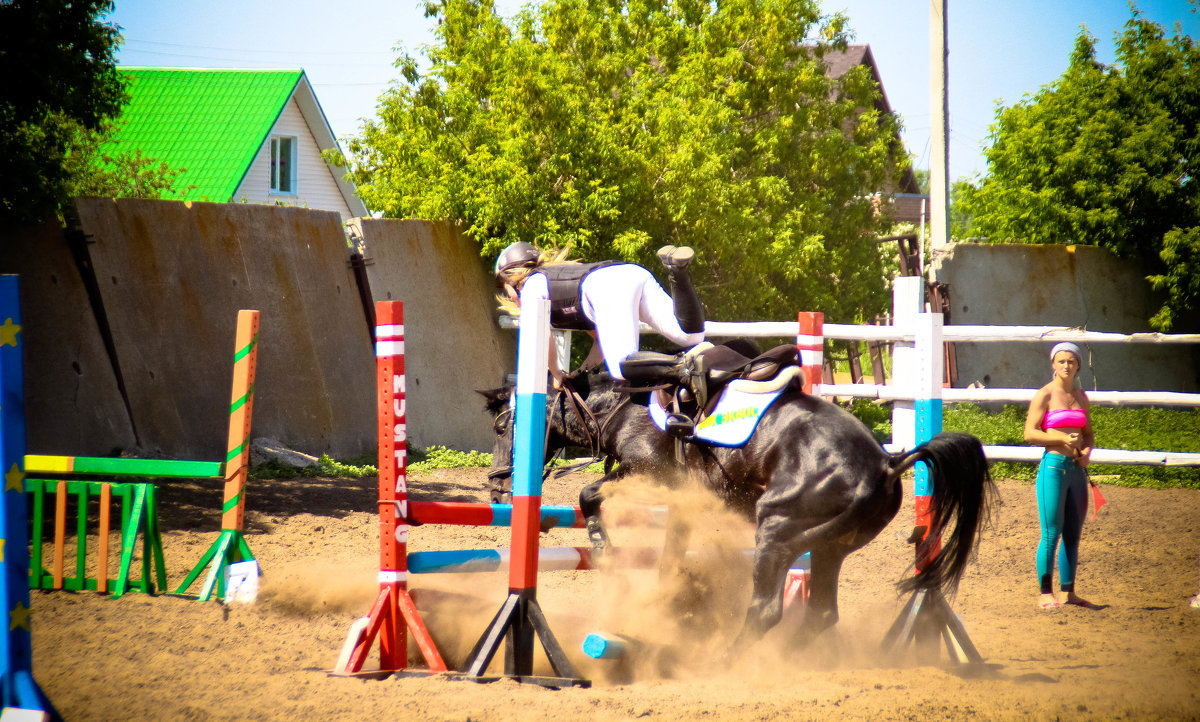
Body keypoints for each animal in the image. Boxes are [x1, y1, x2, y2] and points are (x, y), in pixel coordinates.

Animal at [477, 362, 993, 642]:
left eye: (503, 428)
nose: (498, 490)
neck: (623, 409)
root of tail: (888, 462)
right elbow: (670, 545)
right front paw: (670, 592)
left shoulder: (650, 473)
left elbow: (588, 494)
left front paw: (602, 543)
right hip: (829, 546)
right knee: (821, 611)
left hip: (778, 531)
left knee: (765, 607)